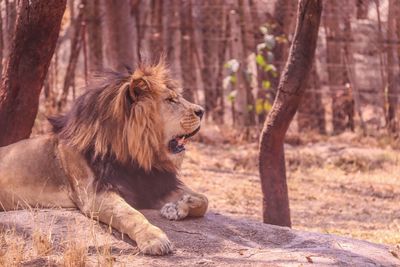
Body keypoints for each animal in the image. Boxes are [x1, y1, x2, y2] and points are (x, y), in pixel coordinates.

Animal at [0, 61, 208, 256]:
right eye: (170, 100)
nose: (202, 111)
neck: (136, 158)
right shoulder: (94, 194)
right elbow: (129, 214)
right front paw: (154, 239)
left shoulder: (153, 184)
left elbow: (203, 199)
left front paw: (175, 208)